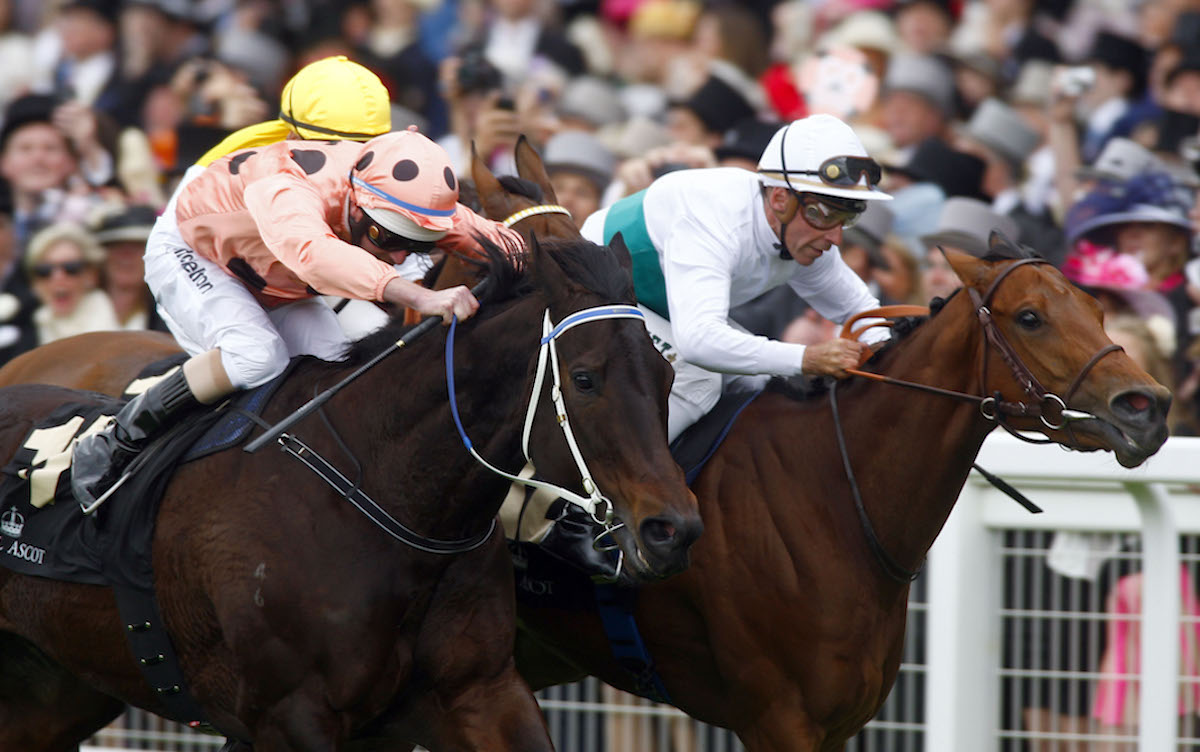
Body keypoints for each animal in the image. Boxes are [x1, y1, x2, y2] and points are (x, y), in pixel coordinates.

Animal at [0, 236, 700, 752]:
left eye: (667, 373)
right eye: (584, 379)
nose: (674, 529)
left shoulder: (477, 690)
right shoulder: (292, 717)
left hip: (53, 691)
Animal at [453, 148, 1166, 752]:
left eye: (1096, 308)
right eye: (1030, 318)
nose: (1148, 405)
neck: (836, 501)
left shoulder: (840, 720)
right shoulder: (779, 719)